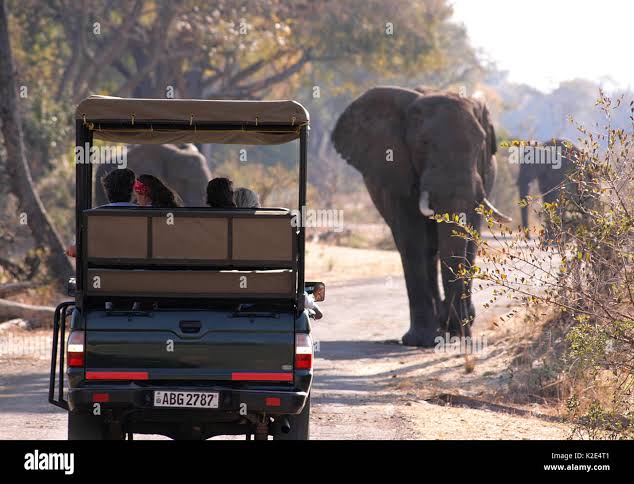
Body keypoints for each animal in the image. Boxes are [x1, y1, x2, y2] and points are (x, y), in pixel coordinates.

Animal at [330, 85, 508, 346]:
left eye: (480, 144)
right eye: (422, 144)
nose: (458, 329)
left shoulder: (481, 180)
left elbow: (468, 239)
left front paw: (458, 328)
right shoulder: (396, 172)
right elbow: (412, 240)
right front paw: (421, 339)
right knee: (426, 249)